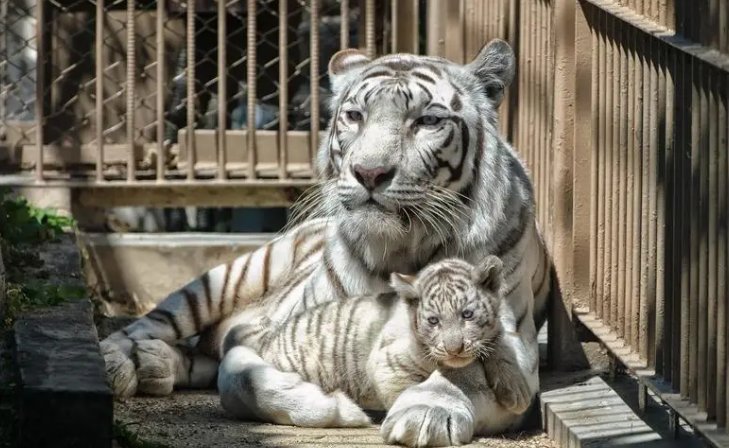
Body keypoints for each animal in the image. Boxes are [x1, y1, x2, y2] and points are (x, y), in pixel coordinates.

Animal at [218, 256, 520, 428]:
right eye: (433, 321)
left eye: (467, 315)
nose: (454, 348)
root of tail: (270, 340)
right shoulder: (387, 365)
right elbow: (404, 391)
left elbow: (500, 343)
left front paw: (515, 393)